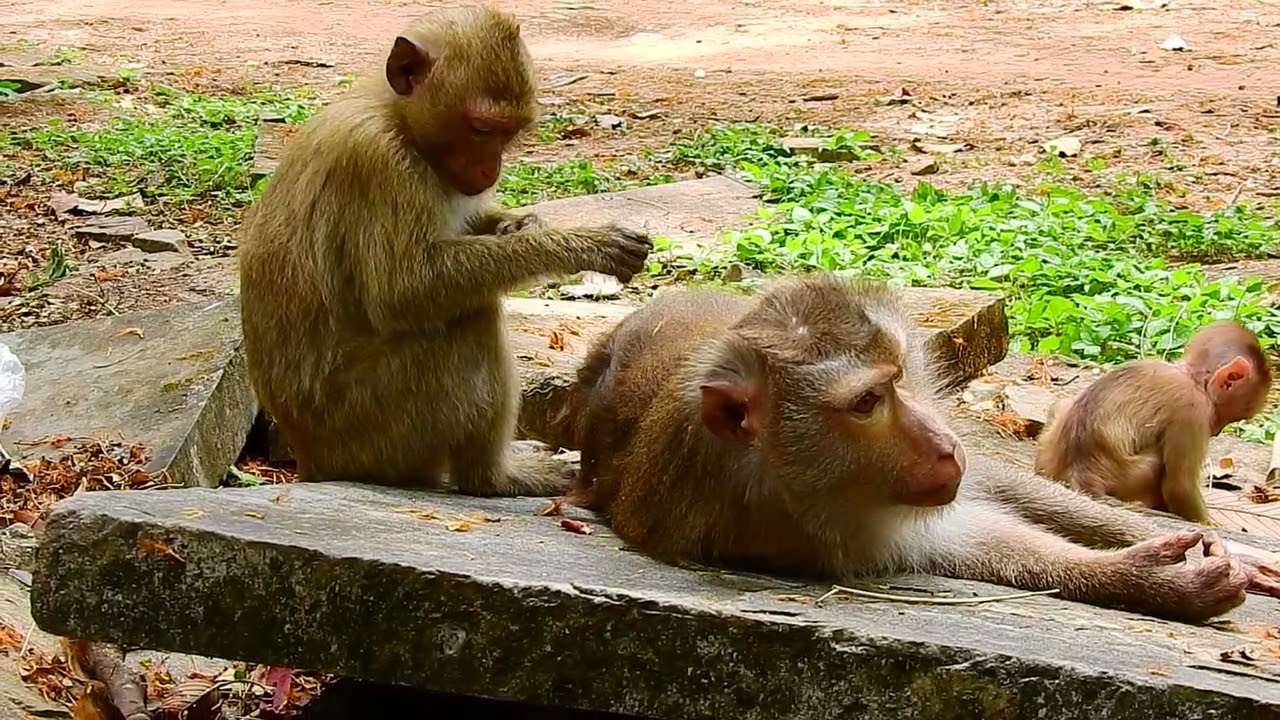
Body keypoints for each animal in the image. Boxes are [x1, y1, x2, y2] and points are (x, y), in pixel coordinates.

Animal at [237, 6, 652, 495]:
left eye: (509, 134)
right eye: (481, 129)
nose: (491, 171)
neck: (398, 118)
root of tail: (311, 461)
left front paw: (519, 224)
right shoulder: (380, 163)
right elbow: (404, 291)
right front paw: (578, 245)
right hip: (371, 429)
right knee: (469, 319)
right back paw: (492, 476)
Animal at [1034, 321, 1272, 524]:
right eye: (1228, 417)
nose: (1217, 431)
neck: (1189, 377)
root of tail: (1080, 476)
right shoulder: (1193, 412)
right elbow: (1179, 486)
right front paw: (1208, 522)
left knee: (1062, 405)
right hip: (1129, 475)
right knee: (1157, 463)